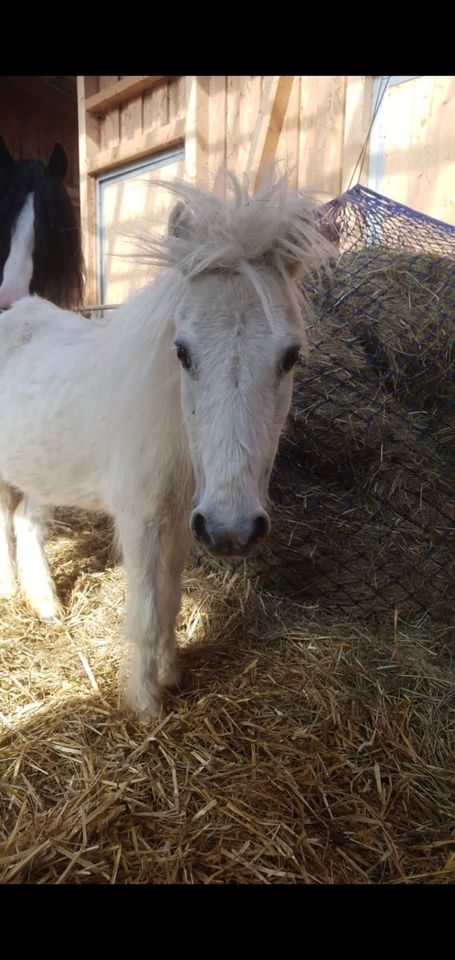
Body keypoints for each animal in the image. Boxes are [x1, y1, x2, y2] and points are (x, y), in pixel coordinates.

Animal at [0, 172, 330, 716]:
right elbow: (146, 611)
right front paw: (145, 704)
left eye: (291, 356)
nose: (233, 532)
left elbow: (171, 601)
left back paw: (41, 603)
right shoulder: (141, 520)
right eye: (182, 352)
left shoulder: (182, 520)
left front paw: (171, 673)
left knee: (24, 521)